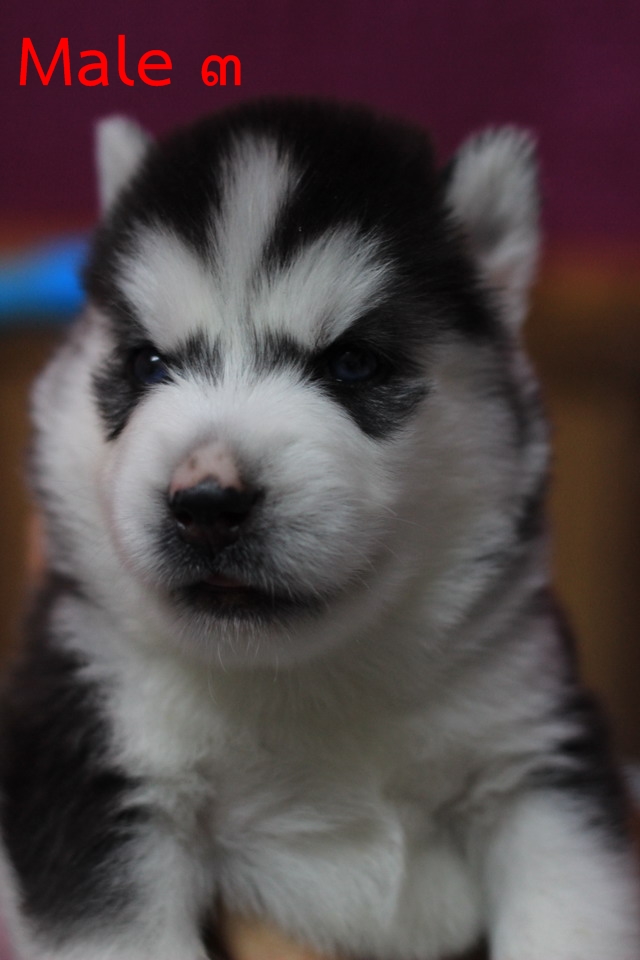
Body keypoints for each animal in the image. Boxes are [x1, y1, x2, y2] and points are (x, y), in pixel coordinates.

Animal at [0, 99, 638, 960]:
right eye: (147, 364)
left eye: (352, 364)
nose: (206, 502)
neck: (306, 682)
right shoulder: (92, 760)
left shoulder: (535, 754)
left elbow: (574, 914)